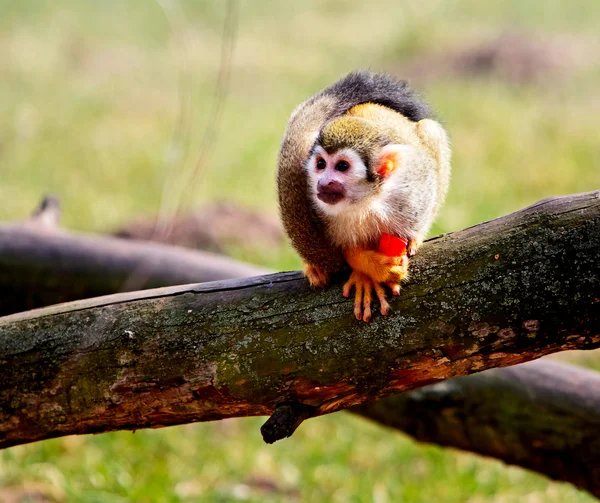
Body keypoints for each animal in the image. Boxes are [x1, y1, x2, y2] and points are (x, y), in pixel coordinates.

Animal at [276, 70, 450, 322]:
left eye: (342, 166)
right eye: (320, 164)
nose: (323, 182)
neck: (364, 201)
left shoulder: (411, 193)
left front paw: (413, 239)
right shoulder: (317, 206)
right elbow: (346, 251)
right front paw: (368, 269)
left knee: (430, 129)